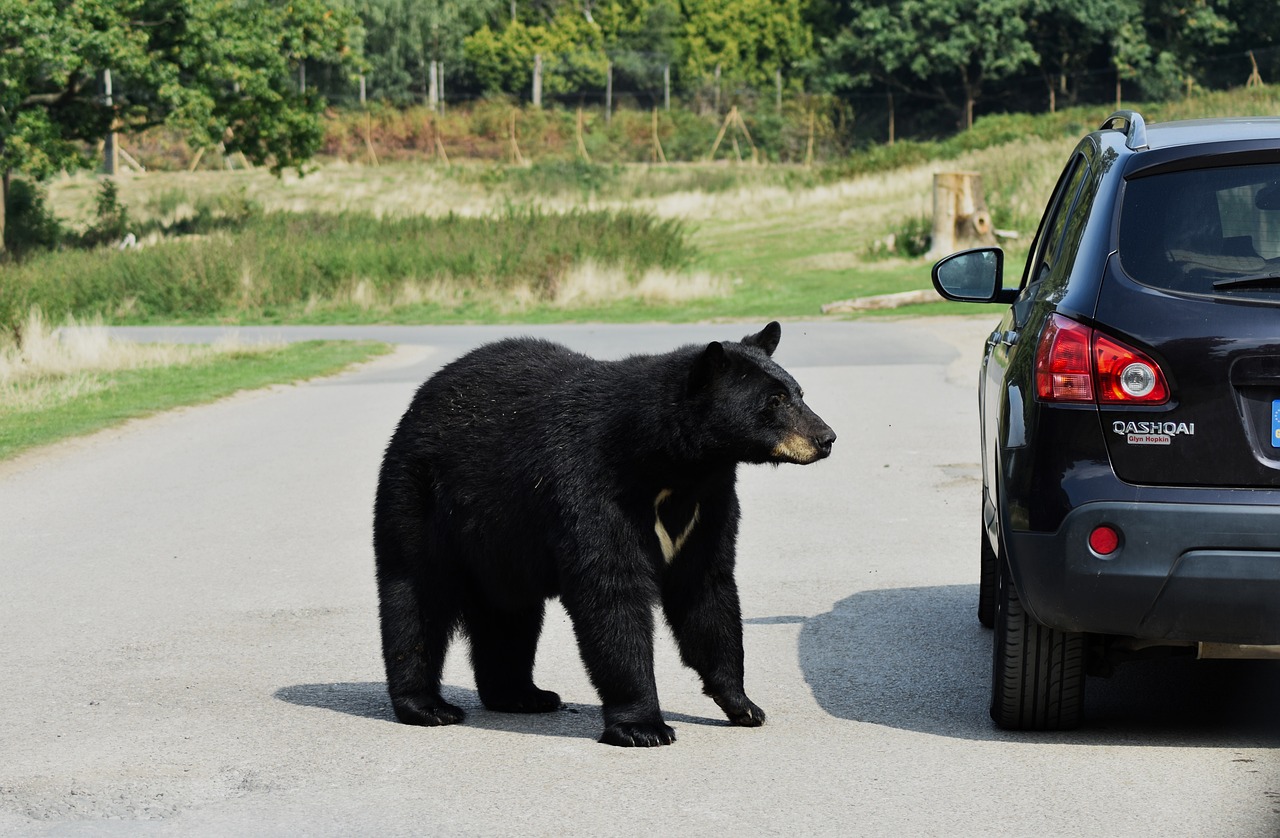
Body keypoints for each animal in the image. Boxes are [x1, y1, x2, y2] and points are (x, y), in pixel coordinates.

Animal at [373, 321, 829, 747]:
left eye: (799, 392)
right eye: (773, 401)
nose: (826, 438)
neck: (671, 467)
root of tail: (422, 397)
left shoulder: (709, 504)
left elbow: (706, 589)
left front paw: (743, 704)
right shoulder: (593, 486)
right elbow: (612, 592)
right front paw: (645, 726)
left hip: (503, 542)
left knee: (510, 615)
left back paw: (522, 695)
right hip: (418, 497)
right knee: (415, 597)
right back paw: (427, 706)